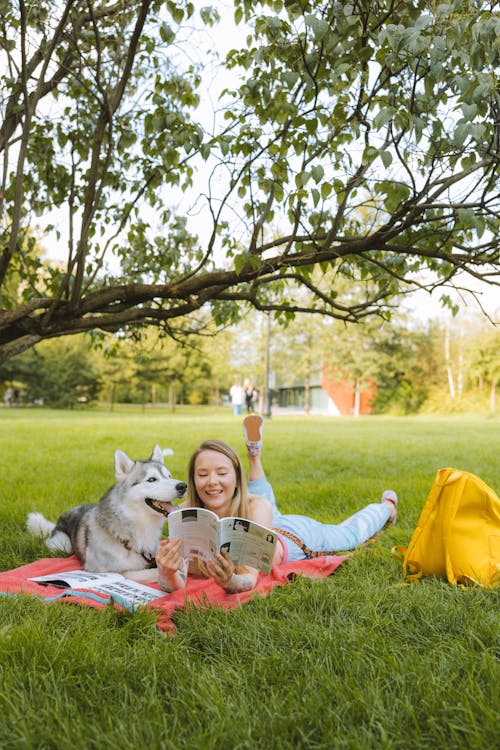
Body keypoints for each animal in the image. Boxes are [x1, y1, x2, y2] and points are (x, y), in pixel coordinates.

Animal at [25, 450, 186, 580]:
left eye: (169, 476)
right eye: (152, 479)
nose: (183, 486)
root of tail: (56, 523)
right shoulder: (101, 570)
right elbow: (137, 572)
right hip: (63, 546)